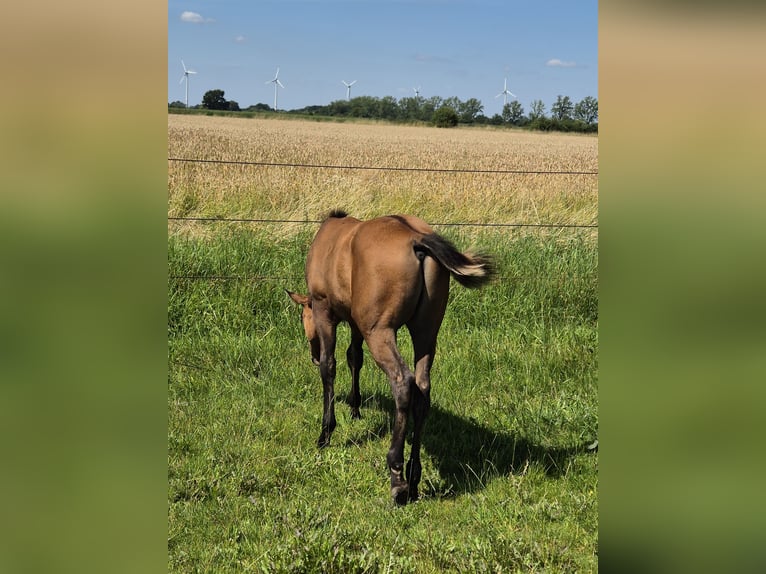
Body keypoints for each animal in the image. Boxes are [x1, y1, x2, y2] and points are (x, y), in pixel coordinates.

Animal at [284, 212, 496, 508]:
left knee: (403, 383)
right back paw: (414, 476)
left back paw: (397, 478)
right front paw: (355, 407)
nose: (312, 355)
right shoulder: (356, 322)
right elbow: (354, 358)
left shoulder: (325, 310)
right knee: (422, 390)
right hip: (426, 333)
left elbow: (330, 367)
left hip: (380, 332)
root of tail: (417, 240)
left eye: (305, 316)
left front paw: (326, 432)